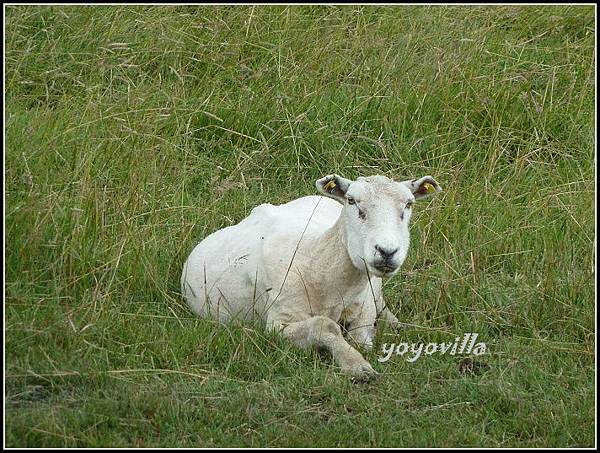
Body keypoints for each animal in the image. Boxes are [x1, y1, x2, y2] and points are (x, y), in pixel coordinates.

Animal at [182, 173, 440, 378]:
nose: (387, 251)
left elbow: (361, 339)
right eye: (352, 200)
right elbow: (325, 326)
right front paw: (356, 365)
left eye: (409, 204)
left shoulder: (364, 309)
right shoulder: (278, 323)